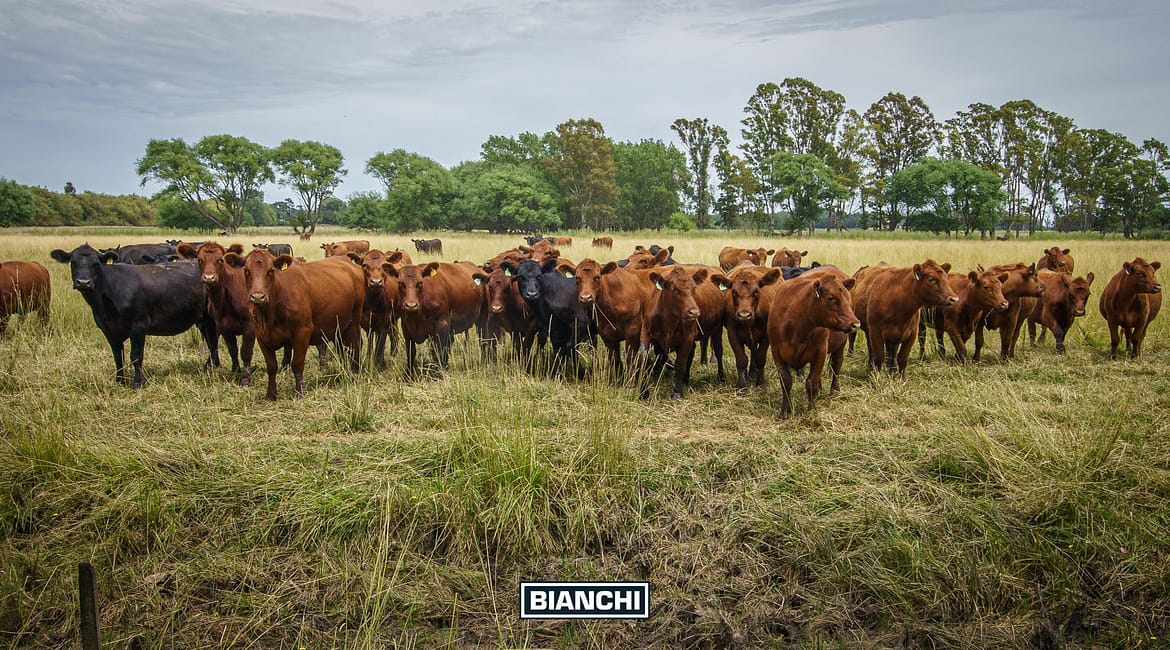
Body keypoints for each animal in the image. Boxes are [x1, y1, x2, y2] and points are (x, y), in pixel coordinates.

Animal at [51, 243, 219, 388]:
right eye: (73, 263)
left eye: (96, 264)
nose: (83, 282)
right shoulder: (108, 330)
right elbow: (118, 356)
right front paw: (119, 380)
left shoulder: (138, 326)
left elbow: (136, 356)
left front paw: (138, 382)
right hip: (204, 320)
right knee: (212, 341)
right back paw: (210, 366)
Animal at [225, 249, 364, 400]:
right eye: (246, 271)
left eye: (271, 271)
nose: (258, 296)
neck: (270, 315)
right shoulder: (262, 337)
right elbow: (271, 367)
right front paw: (270, 395)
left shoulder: (302, 333)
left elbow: (297, 365)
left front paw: (299, 392)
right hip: (339, 326)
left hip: (353, 322)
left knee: (353, 348)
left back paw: (354, 374)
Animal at [636, 265, 710, 399]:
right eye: (674, 289)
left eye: (694, 288)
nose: (694, 312)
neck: (668, 319)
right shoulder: (646, 332)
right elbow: (642, 358)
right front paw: (643, 392)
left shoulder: (688, 337)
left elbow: (680, 364)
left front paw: (677, 392)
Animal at [767, 268, 860, 418]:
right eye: (830, 297)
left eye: (847, 297)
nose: (856, 324)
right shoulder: (776, 351)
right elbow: (786, 381)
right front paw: (785, 411)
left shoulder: (820, 351)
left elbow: (812, 383)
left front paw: (812, 411)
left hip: (840, 345)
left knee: (836, 365)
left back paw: (834, 392)